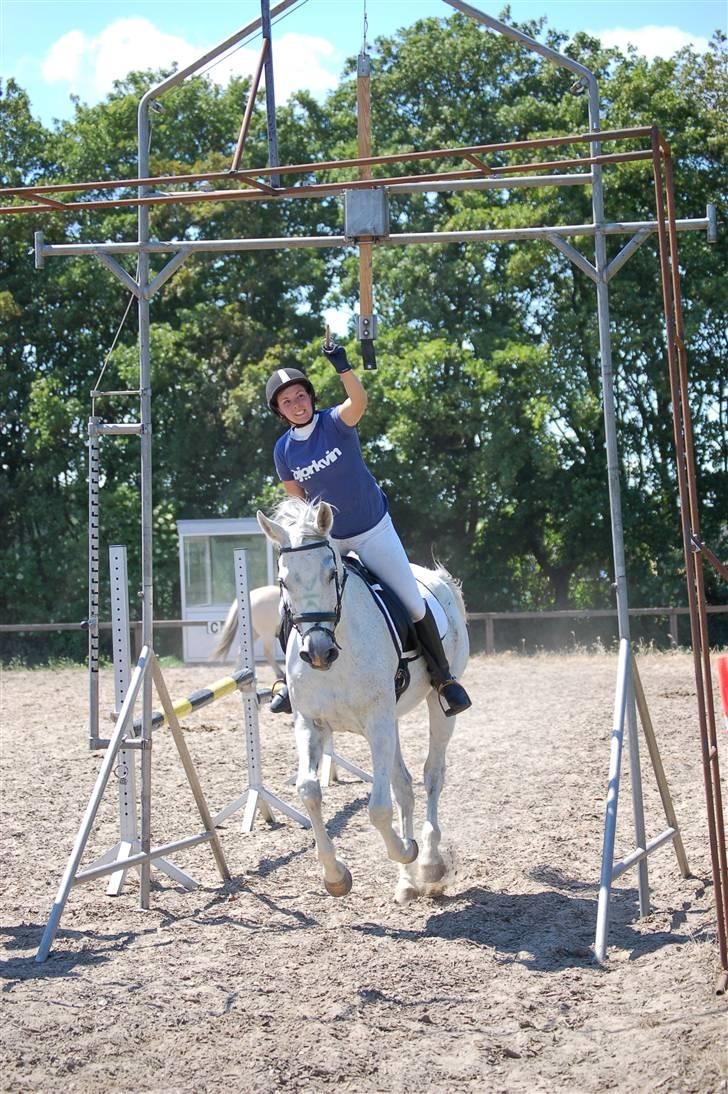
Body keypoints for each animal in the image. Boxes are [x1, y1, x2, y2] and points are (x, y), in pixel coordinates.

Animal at [258, 498, 468, 905]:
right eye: (284, 581)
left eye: (330, 574)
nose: (317, 652)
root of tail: (439, 579)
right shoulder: (310, 723)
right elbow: (309, 791)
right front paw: (336, 876)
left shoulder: (377, 721)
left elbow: (379, 807)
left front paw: (407, 850)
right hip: (392, 718)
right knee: (404, 784)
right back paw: (407, 883)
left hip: (436, 707)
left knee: (432, 775)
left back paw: (429, 862)